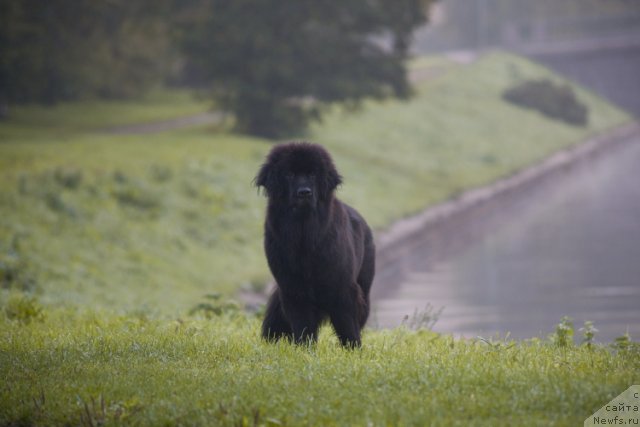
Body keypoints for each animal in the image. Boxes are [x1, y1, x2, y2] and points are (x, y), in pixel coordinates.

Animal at [255, 142, 376, 350]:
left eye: (312, 174)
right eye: (289, 174)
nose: (304, 192)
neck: (304, 236)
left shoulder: (342, 287)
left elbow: (347, 323)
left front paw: (353, 349)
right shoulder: (293, 288)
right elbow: (302, 324)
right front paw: (304, 349)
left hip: (365, 285)